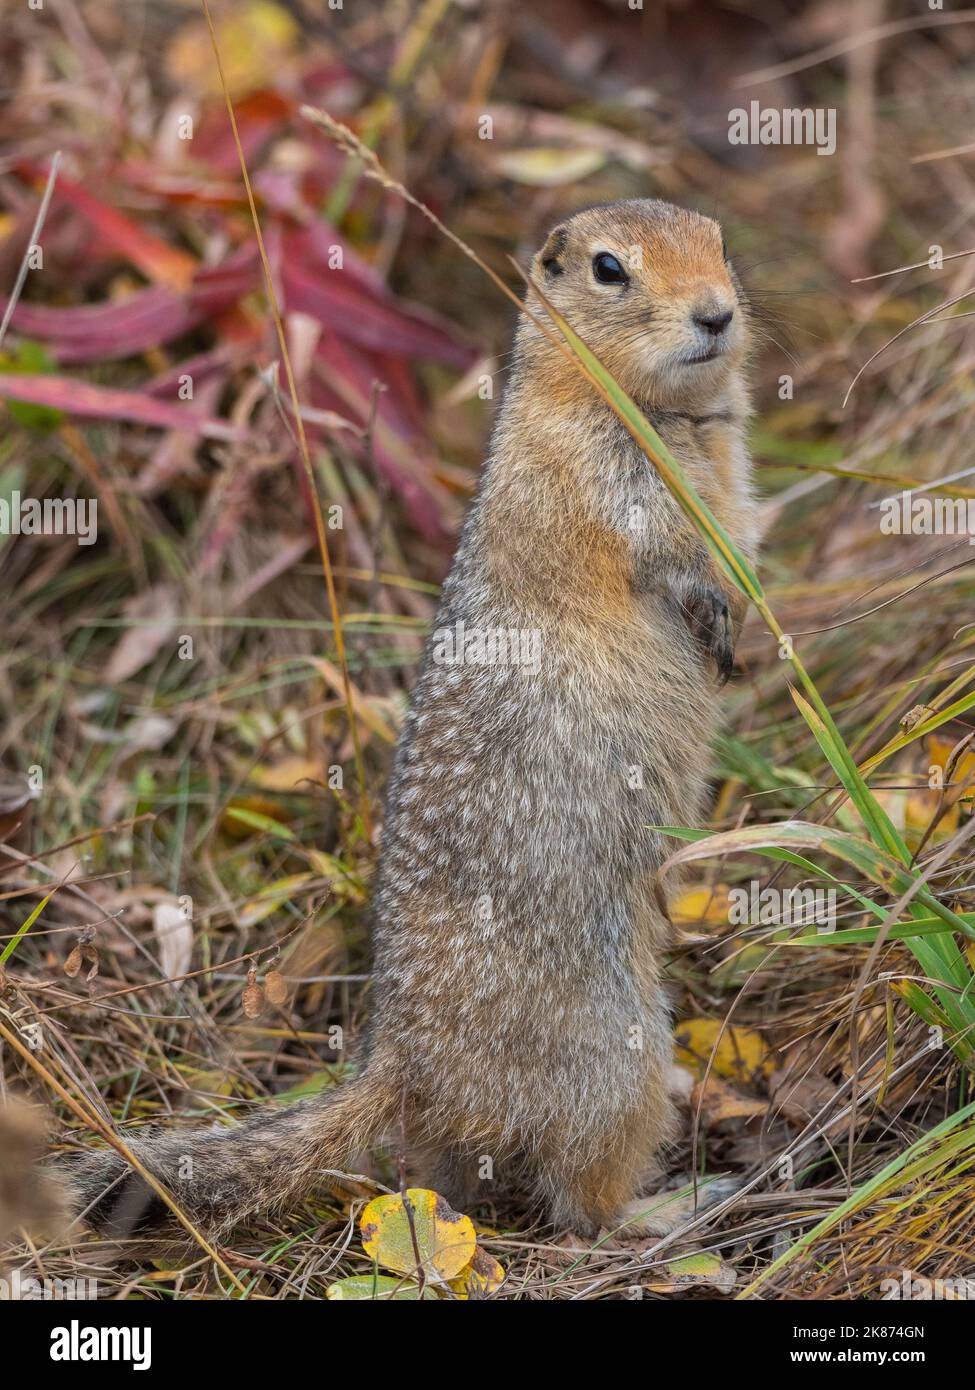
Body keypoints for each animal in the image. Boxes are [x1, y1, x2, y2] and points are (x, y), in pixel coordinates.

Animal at [59, 195, 762, 1239]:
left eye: (719, 242)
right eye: (609, 269)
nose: (716, 313)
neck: (660, 412)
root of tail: (398, 1061)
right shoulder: (604, 479)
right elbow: (663, 553)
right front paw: (713, 614)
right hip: (617, 1050)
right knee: (578, 1200)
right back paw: (670, 1209)